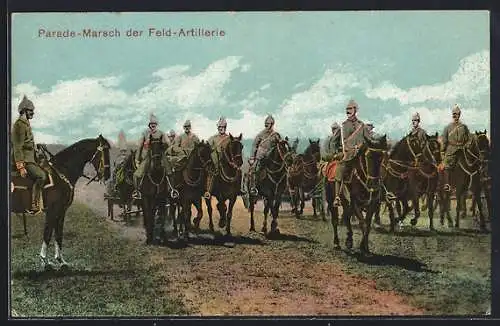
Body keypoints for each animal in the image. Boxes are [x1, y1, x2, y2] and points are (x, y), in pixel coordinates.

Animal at [10, 134, 110, 268]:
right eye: (104, 151)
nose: (108, 175)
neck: (61, 173)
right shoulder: (52, 211)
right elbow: (48, 233)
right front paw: (44, 260)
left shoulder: (61, 211)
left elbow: (58, 234)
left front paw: (60, 260)